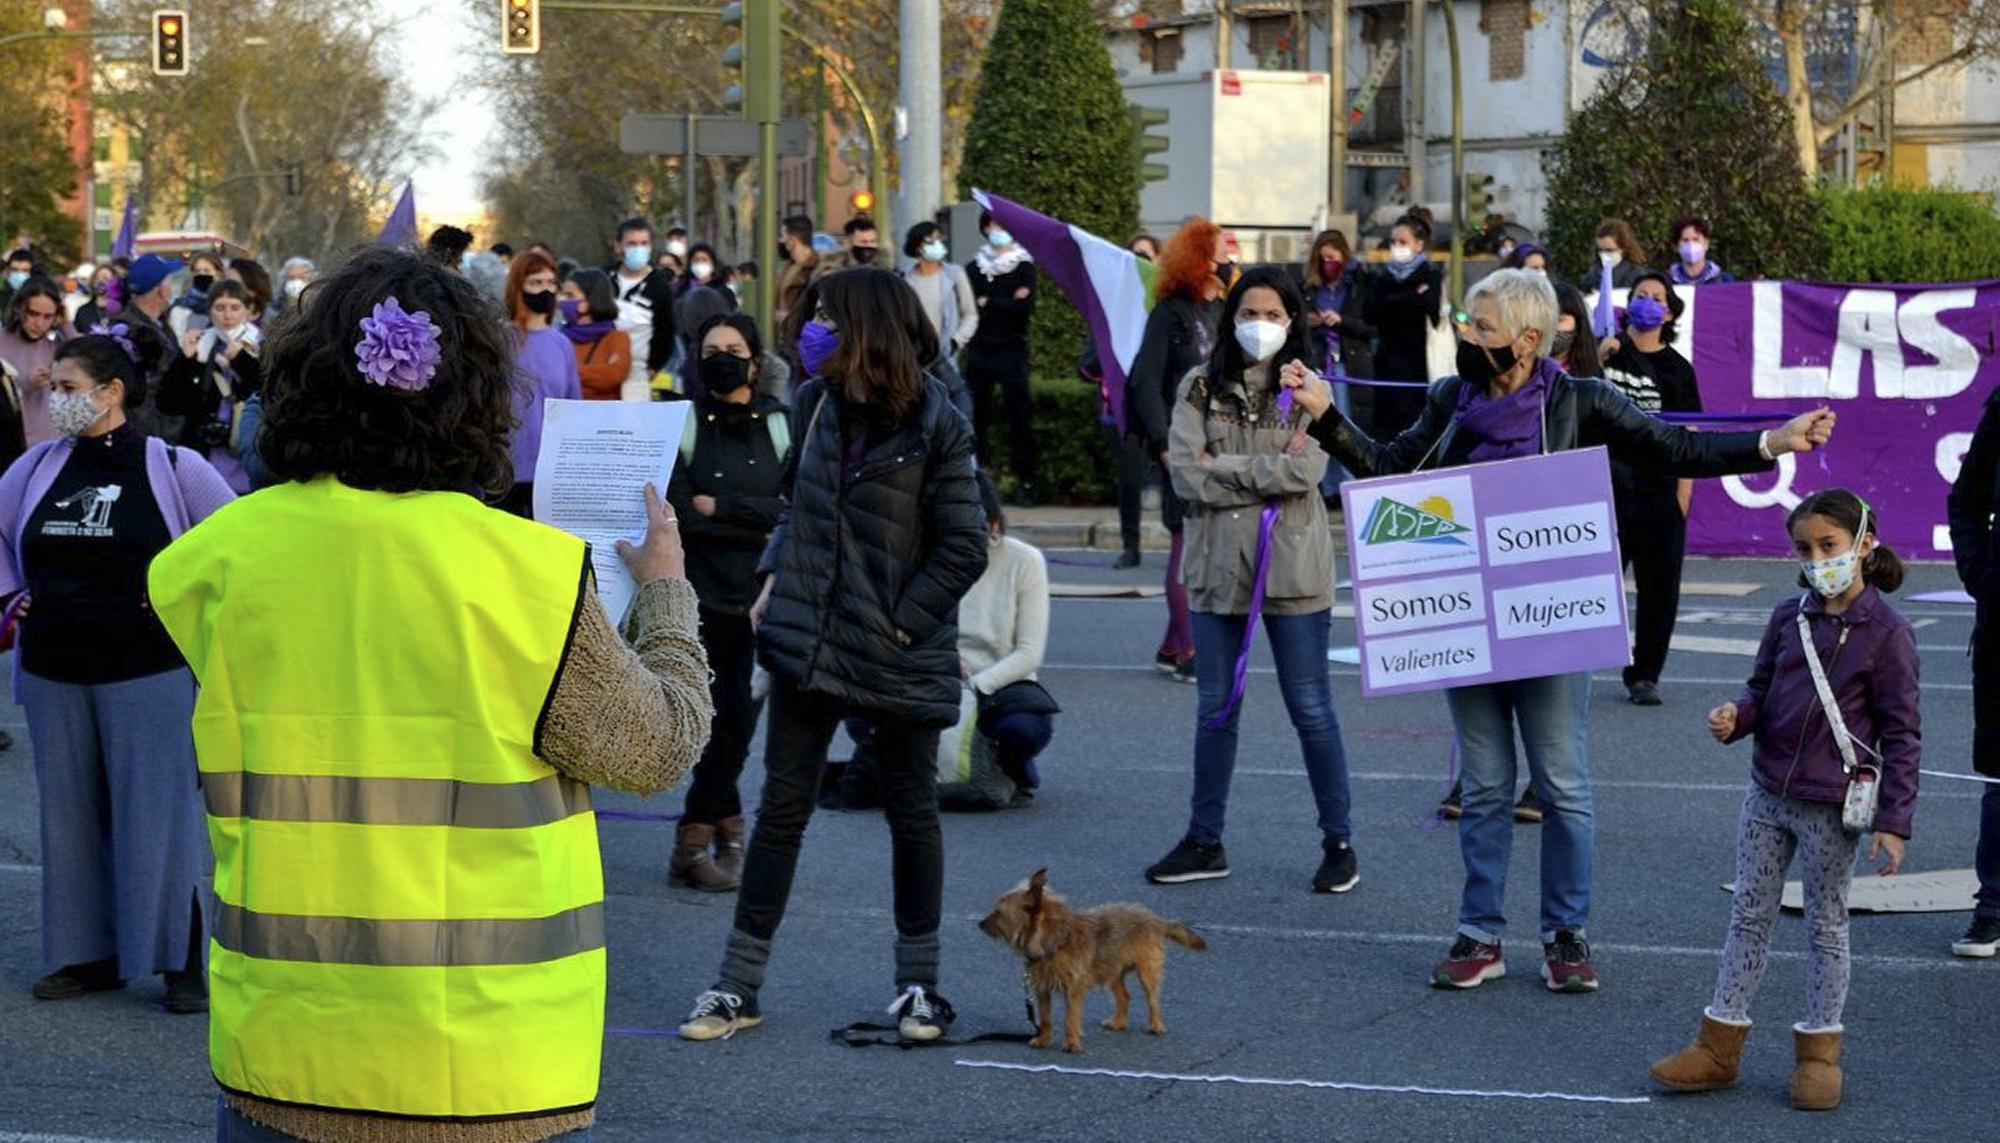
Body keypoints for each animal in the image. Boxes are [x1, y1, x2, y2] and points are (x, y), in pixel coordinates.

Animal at [972, 867, 1192, 1055]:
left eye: (999, 912)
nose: (980, 923)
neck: (1056, 942)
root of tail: (1154, 918)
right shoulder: (1042, 990)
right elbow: (1045, 1017)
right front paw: (1043, 1039)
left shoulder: (1073, 989)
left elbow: (1070, 1017)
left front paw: (1071, 1043)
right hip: (1112, 970)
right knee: (1123, 996)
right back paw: (1119, 1022)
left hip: (1147, 970)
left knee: (1152, 999)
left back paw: (1156, 1026)